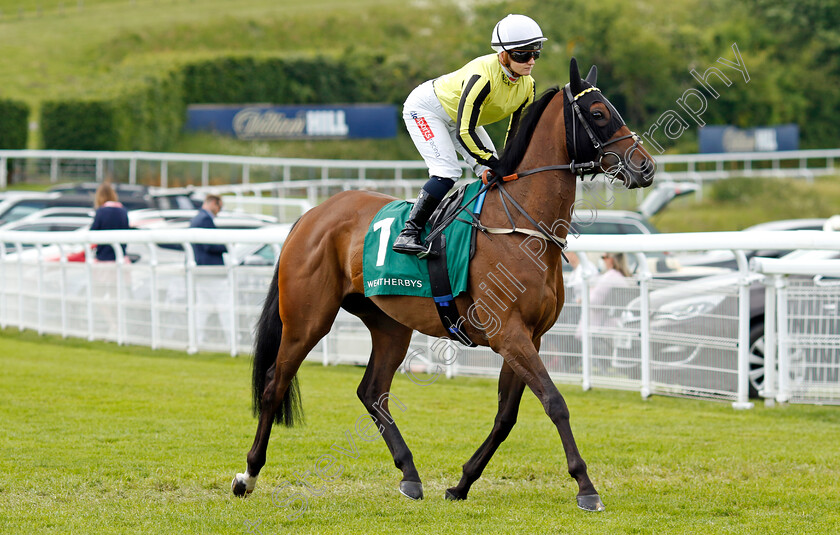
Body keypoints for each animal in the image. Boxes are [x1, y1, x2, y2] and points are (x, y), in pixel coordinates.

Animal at [231, 56, 656, 512]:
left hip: (389, 324)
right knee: (274, 385)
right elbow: (555, 402)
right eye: (598, 113)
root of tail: (310, 215)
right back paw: (248, 475)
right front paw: (586, 486)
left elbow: (507, 416)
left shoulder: (530, 336)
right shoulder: (509, 333)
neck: (521, 226)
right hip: (307, 320)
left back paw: (410, 475)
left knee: (372, 392)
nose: (645, 167)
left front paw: (462, 483)